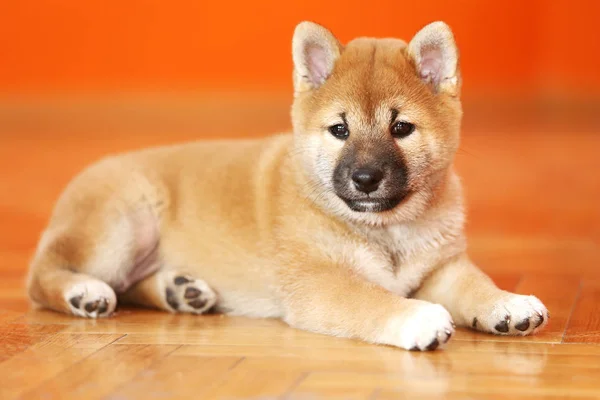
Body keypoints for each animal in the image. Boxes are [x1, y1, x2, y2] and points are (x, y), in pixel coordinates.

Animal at [28, 20, 548, 350]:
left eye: (402, 128)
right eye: (339, 130)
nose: (365, 179)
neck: (388, 230)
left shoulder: (442, 267)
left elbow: (477, 284)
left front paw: (507, 303)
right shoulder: (319, 282)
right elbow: (370, 300)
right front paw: (416, 316)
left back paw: (180, 291)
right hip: (119, 229)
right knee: (42, 278)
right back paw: (84, 293)